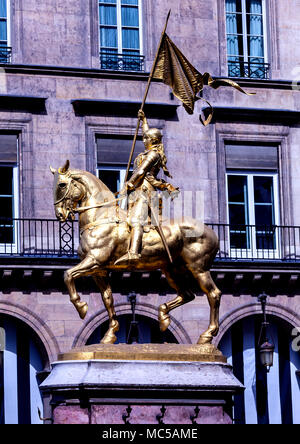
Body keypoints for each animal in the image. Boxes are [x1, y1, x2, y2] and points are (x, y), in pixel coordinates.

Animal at [50, 161, 221, 346]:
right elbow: (108, 299)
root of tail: (212, 233)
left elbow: (67, 275)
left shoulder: (94, 260)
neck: (100, 216)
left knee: (213, 294)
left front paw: (81, 307)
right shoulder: (99, 271)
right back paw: (163, 317)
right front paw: (110, 334)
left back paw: (207, 335)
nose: (60, 214)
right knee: (187, 295)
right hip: (172, 270)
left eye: (62, 184)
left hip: (198, 268)